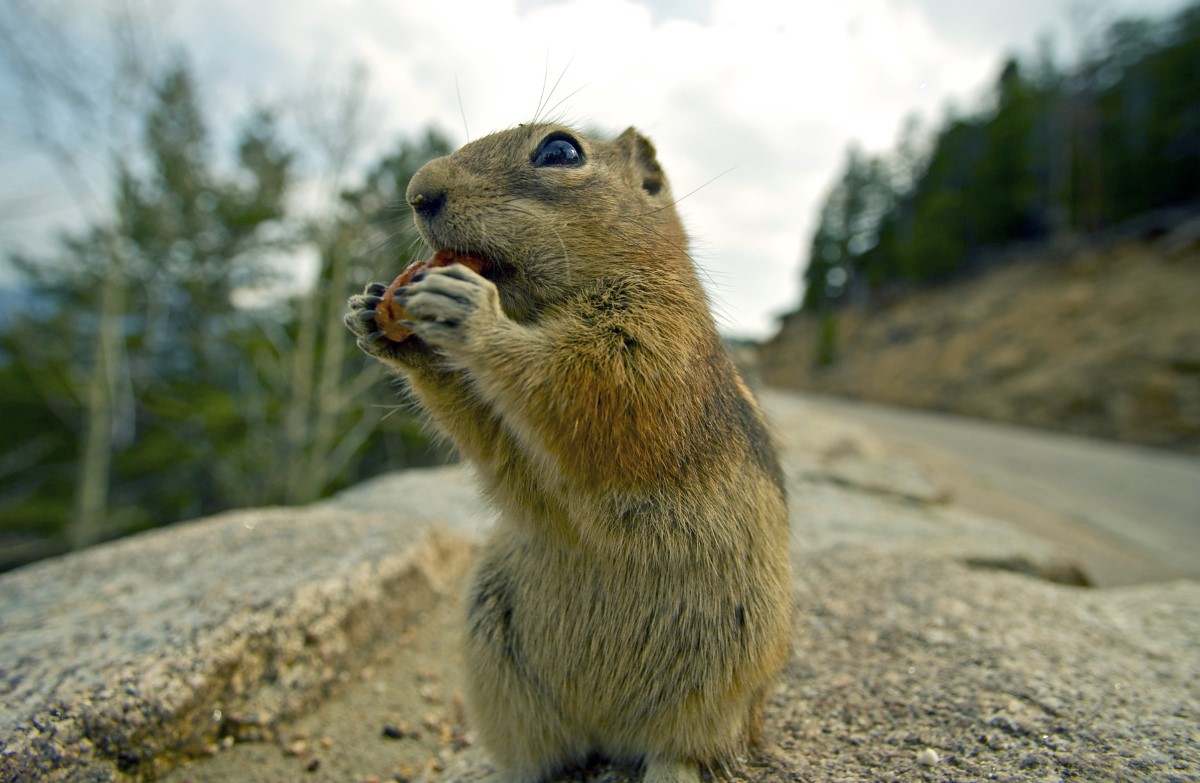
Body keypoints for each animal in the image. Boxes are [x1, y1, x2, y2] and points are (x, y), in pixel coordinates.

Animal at [348, 122, 792, 783]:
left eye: (560, 150)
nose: (417, 191)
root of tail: (606, 730)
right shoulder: (525, 467)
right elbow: (497, 443)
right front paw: (377, 319)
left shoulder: (647, 350)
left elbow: (569, 383)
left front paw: (470, 314)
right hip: (500, 668)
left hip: (720, 691)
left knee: (689, 749)